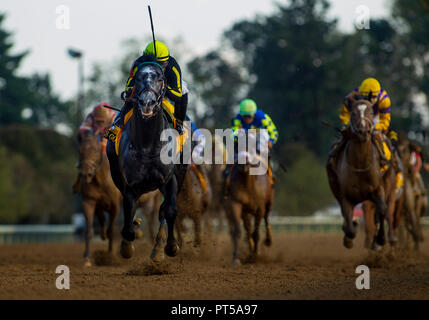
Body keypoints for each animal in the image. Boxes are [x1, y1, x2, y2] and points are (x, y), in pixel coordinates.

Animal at [76, 129, 120, 266]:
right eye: (80, 150)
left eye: (95, 150)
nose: (86, 173)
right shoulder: (89, 202)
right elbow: (89, 230)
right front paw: (87, 258)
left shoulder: (115, 205)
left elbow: (112, 231)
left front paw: (111, 256)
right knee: (101, 219)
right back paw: (102, 235)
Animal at [106, 54, 186, 260]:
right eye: (138, 78)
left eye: (160, 78)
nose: (147, 103)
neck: (148, 144)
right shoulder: (130, 184)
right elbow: (128, 222)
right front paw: (127, 245)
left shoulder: (170, 179)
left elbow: (170, 210)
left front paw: (170, 246)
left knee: (164, 209)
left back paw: (158, 248)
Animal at [326, 97, 396, 250]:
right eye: (353, 113)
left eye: (371, 112)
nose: (363, 131)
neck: (360, 164)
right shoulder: (346, 196)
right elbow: (350, 227)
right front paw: (350, 234)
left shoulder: (377, 189)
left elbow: (382, 209)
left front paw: (380, 239)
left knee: (384, 210)